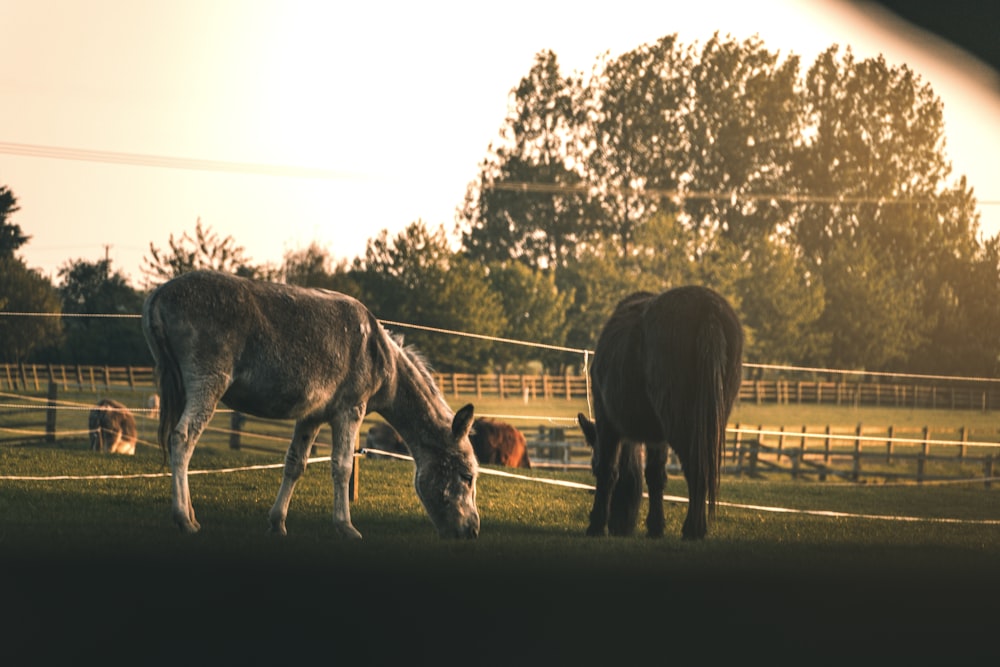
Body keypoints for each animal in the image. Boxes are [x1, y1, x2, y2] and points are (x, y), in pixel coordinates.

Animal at [141, 268, 480, 540]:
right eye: (467, 477)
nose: (472, 530)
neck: (384, 360)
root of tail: (160, 293)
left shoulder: (312, 417)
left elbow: (295, 464)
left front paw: (277, 522)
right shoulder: (350, 411)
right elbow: (342, 466)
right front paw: (346, 526)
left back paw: (189, 514)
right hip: (207, 383)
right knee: (183, 439)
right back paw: (184, 519)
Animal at [580, 290, 744, 540]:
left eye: (592, 465)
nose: (620, 527)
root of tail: (709, 310)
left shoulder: (607, 421)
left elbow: (609, 471)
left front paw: (596, 525)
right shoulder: (657, 436)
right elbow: (655, 476)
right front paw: (656, 526)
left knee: (696, 468)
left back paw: (693, 529)